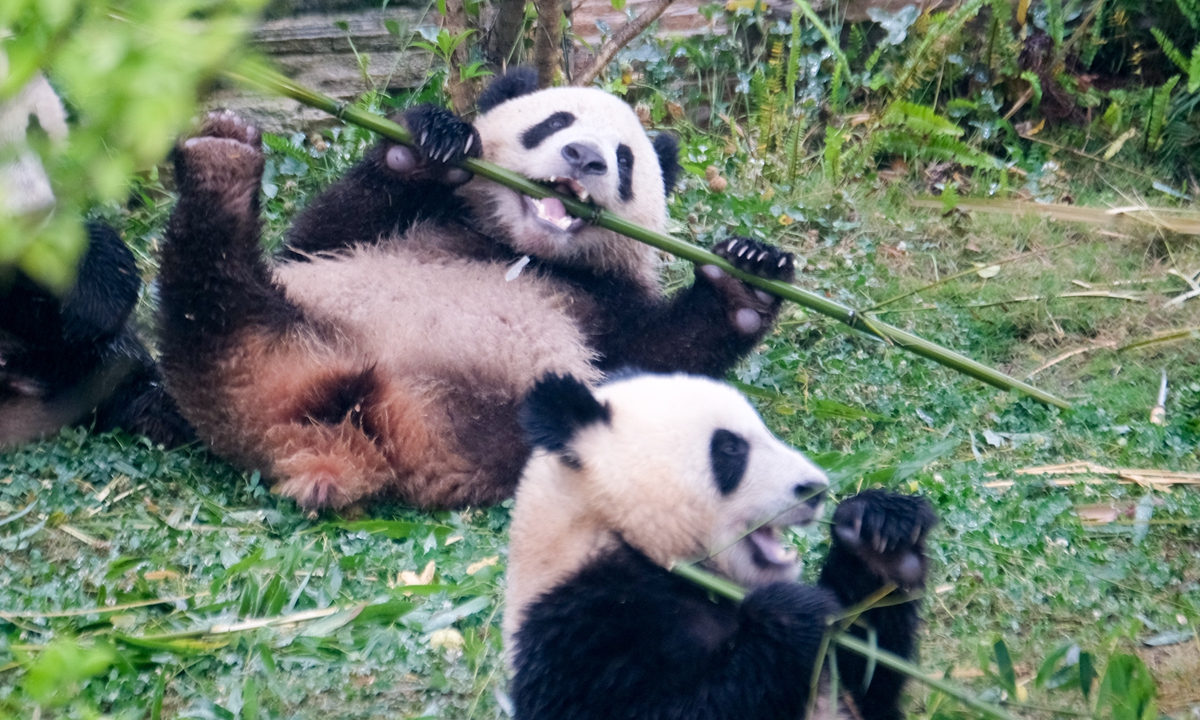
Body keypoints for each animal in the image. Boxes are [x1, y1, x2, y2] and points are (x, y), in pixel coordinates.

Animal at [158, 68, 797, 511]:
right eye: (555, 123)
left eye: (623, 159)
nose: (585, 157)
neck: (518, 249)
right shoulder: (402, 229)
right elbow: (318, 240)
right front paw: (430, 143)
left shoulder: (600, 299)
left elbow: (655, 354)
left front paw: (748, 277)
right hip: (277, 337)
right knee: (217, 306)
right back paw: (222, 157)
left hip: (497, 417)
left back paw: (220, 169)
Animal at [506, 372, 937, 720]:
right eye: (730, 448)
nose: (813, 489)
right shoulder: (579, 628)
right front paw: (792, 614)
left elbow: (866, 688)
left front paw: (881, 539)